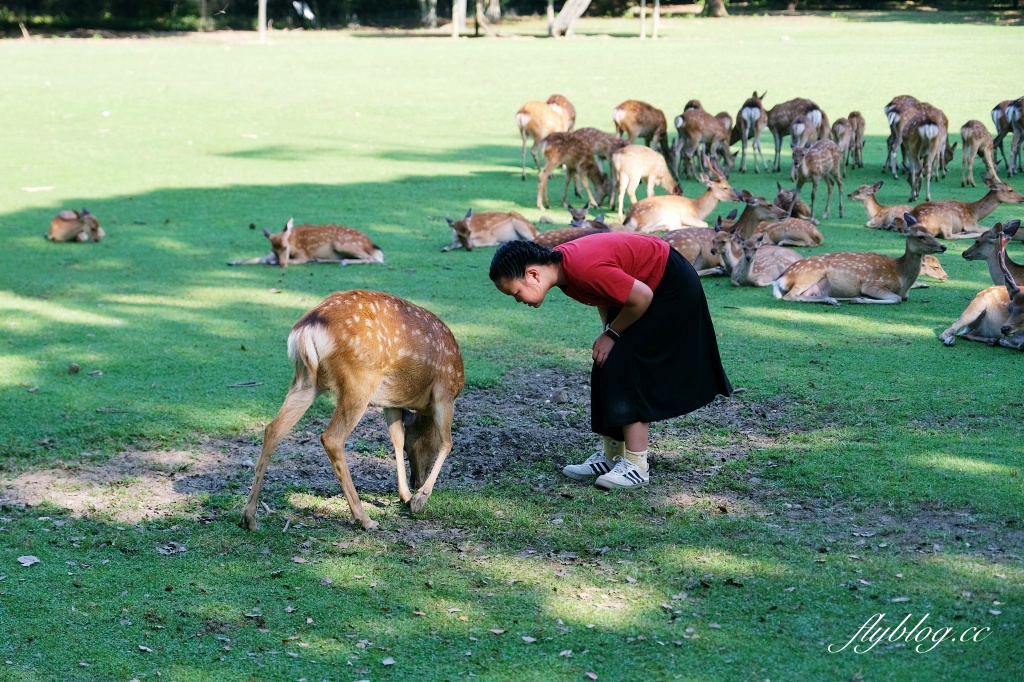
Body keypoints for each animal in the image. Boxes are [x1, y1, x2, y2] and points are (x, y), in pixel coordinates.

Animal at [228, 220, 385, 268]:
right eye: (273, 249)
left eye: (285, 247)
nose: (281, 264)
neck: (292, 241)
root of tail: (371, 245)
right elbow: (258, 258)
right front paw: (233, 261)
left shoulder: (303, 254)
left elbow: (296, 260)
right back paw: (319, 260)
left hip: (342, 243)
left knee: (372, 258)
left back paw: (343, 262)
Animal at [237, 288, 466, 528]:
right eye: (424, 444)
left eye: (410, 445)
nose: (417, 482)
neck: (422, 404)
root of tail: (306, 329)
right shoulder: (445, 393)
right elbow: (447, 442)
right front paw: (419, 499)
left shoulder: (391, 401)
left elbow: (396, 437)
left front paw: (405, 495)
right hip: (359, 381)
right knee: (332, 437)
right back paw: (364, 518)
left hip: (306, 380)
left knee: (273, 429)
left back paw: (248, 517)